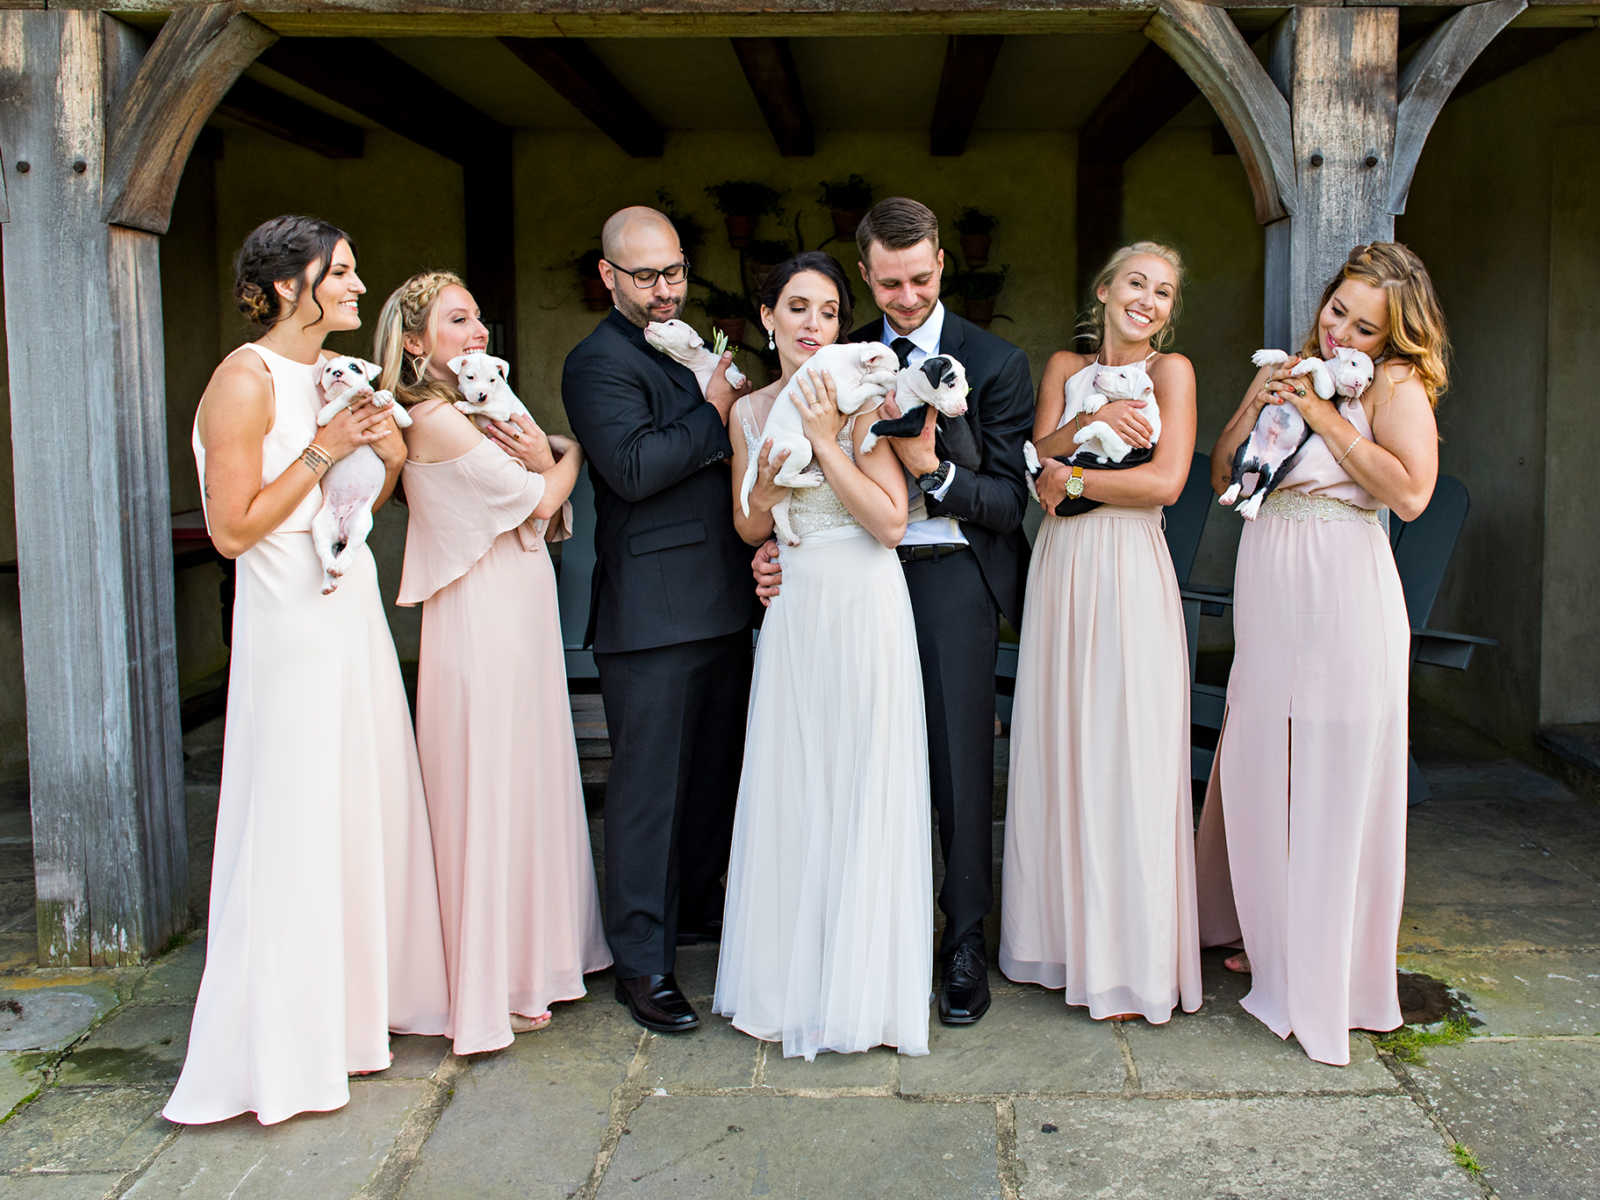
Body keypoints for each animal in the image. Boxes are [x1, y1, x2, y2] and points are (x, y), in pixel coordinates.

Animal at [310, 356, 409, 601]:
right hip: (320, 526)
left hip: (360, 523)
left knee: (347, 550)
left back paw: (333, 575)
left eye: (354, 367)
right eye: (328, 369)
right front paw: (356, 392)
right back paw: (331, 575)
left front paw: (379, 395)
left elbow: (395, 407)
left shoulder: (403, 419)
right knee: (326, 553)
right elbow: (341, 399)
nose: (337, 373)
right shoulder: (324, 415)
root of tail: (340, 529)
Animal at [736, 339, 902, 544]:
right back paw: (810, 479)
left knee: (778, 506)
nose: (900, 374)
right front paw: (881, 386)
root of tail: (763, 443)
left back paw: (791, 536)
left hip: (783, 485)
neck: (854, 358)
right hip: (801, 448)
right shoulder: (847, 398)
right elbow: (868, 385)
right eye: (895, 370)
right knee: (781, 478)